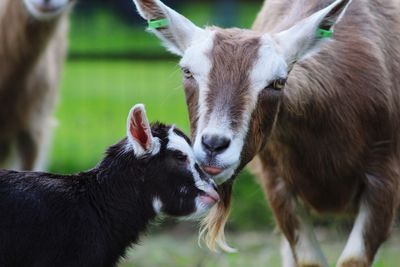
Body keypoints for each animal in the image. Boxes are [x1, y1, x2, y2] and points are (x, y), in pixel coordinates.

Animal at [134, 0, 400, 266]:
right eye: (187, 71)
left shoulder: (383, 180)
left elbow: (353, 259)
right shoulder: (276, 184)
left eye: (277, 82)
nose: (214, 145)